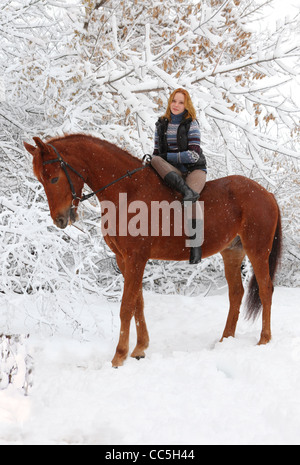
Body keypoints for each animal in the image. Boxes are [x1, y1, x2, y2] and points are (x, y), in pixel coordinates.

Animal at [24, 134, 282, 366]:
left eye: (54, 179)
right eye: (40, 180)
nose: (60, 220)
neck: (127, 191)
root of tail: (266, 193)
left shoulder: (136, 257)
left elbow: (127, 306)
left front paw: (119, 356)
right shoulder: (124, 259)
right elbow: (138, 302)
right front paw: (139, 349)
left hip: (257, 249)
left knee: (266, 289)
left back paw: (264, 339)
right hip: (232, 251)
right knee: (236, 293)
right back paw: (225, 340)